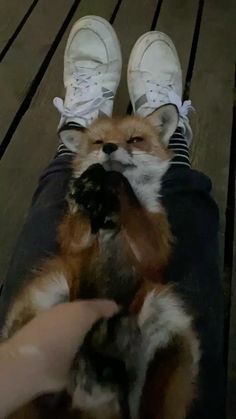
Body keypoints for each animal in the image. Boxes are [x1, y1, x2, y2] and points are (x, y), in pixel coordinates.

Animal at [3, 106, 199, 419]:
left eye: (134, 139)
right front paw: (88, 184)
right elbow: (79, 224)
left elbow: (133, 206)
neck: (109, 216)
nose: (109, 148)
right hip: (51, 290)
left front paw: (114, 183)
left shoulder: (154, 251)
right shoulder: (72, 242)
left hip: (163, 305)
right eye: (97, 142)